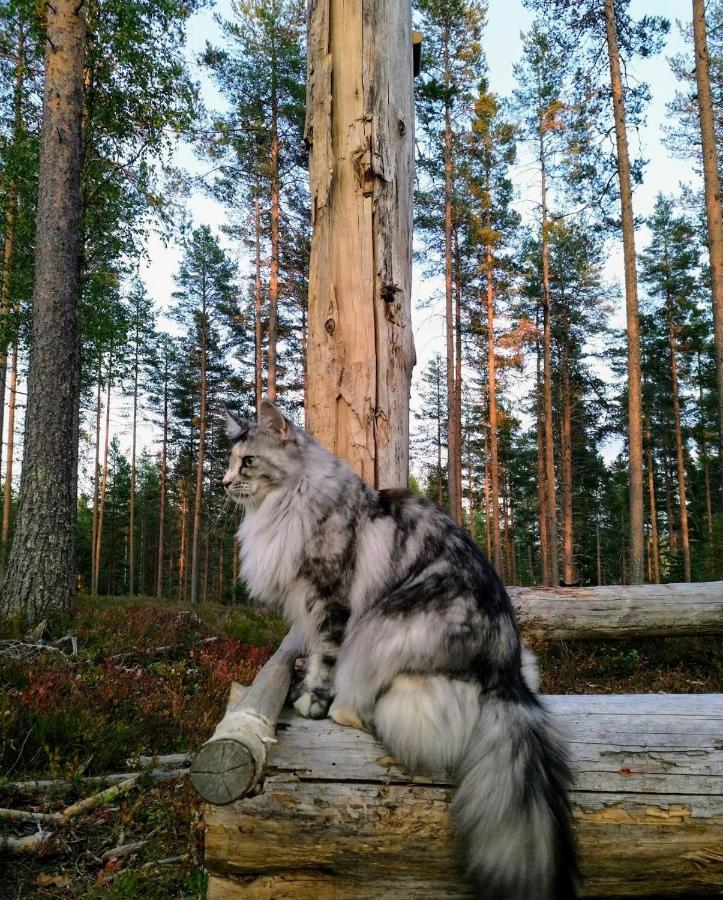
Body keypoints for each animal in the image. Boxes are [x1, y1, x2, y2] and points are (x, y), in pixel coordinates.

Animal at [223, 400, 580, 900]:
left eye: (248, 462)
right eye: (230, 462)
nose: (221, 483)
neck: (287, 505)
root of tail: (505, 670)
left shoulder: (331, 602)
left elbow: (325, 659)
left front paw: (311, 701)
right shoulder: (308, 607)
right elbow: (310, 653)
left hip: (382, 629)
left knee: (368, 707)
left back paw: (348, 711)